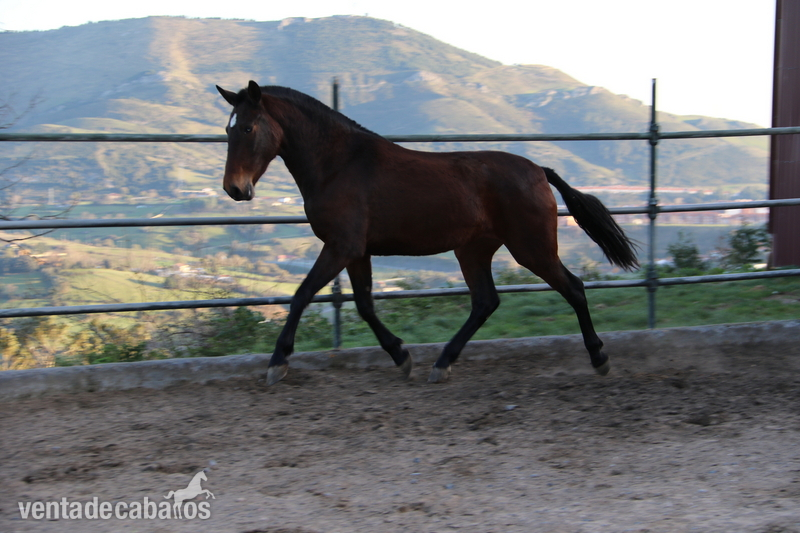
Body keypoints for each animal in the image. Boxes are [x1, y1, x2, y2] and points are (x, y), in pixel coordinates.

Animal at [216, 80, 638, 386]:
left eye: (249, 127)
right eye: (227, 129)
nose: (235, 189)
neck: (338, 164)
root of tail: (539, 170)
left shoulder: (340, 247)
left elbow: (302, 295)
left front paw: (277, 363)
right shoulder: (357, 251)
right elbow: (365, 305)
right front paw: (401, 357)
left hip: (531, 248)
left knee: (573, 288)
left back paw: (599, 358)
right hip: (474, 251)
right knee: (486, 302)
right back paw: (442, 363)